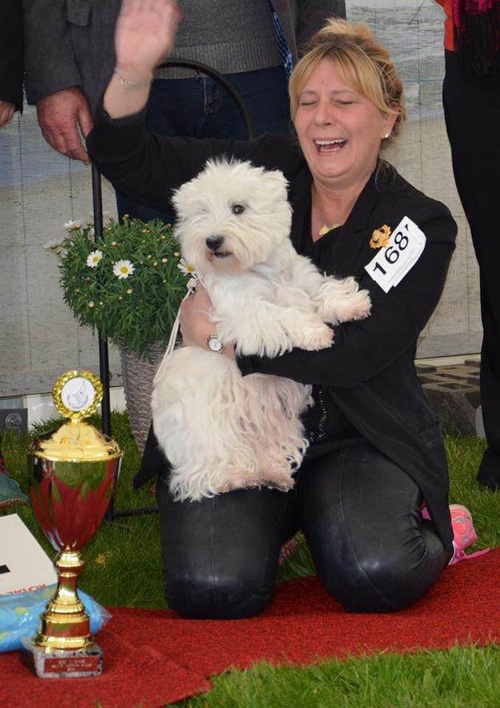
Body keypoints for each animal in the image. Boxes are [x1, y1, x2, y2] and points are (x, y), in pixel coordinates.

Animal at [150, 160, 370, 504]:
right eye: (201, 211)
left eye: (238, 208)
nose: (212, 241)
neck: (261, 269)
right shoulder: (245, 314)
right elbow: (283, 316)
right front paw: (317, 333)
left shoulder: (302, 280)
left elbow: (323, 290)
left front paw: (352, 304)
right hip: (206, 429)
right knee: (201, 472)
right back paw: (235, 478)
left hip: (271, 423)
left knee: (266, 453)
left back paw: (276, 475)